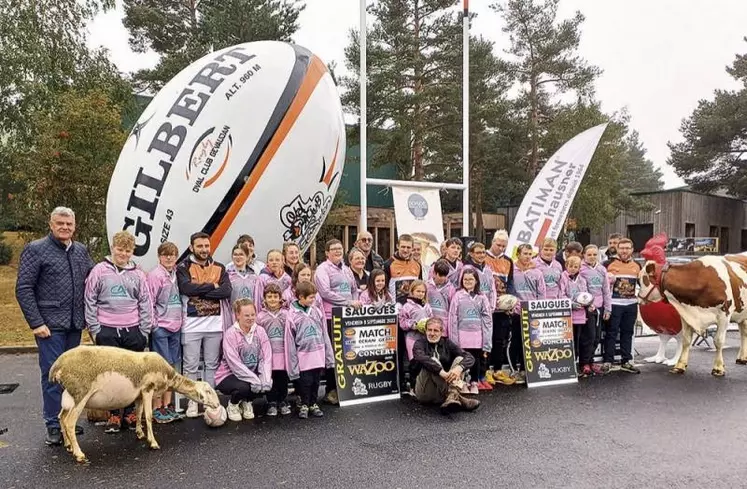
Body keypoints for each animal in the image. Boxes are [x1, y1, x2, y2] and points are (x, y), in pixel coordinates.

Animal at [48, 346, 219, 464]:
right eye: (208, 391)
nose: (217, 406)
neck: (169, 377)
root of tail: (57, 366)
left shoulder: (139, 395)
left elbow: (138, 413)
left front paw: (140, 433)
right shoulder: (148, 389)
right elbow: (148, 416)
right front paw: (153, 442)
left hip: (70, 394)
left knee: (61, 417)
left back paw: (68, 446)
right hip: (80, 394)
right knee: (69, 422)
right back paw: (79, 454)